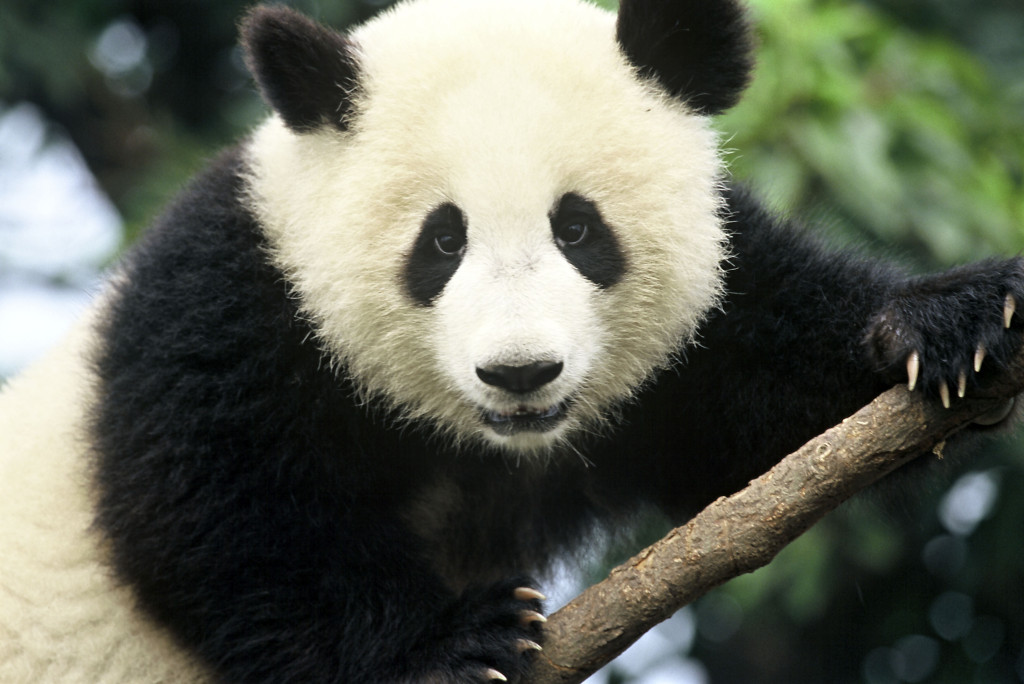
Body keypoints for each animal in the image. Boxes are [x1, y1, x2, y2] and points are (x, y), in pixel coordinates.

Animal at [2, 0, 1024, 679]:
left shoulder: (702, 333)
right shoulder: (230, 302)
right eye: (441, 241)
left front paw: (957, 323)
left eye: (578, 228)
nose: (521, 372)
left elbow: (760, 404)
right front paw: (449, 645)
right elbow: (218, 520)